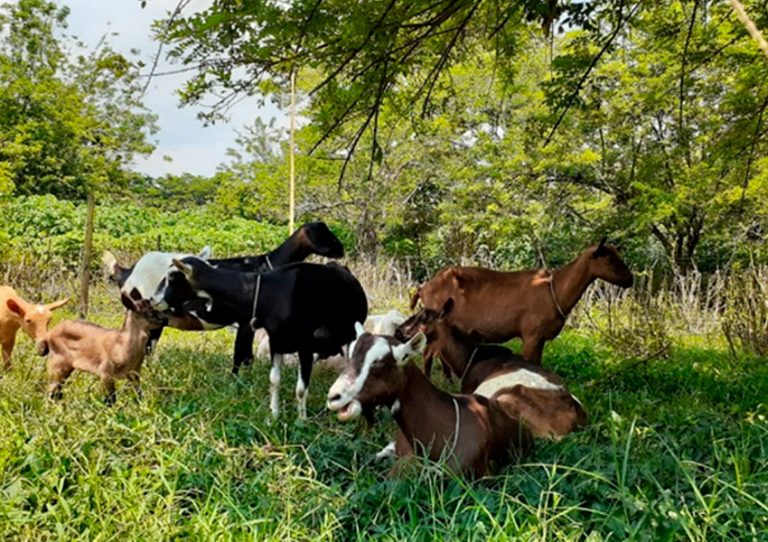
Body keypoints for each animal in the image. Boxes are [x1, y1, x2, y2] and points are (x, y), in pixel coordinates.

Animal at [172, 260, 368, 420]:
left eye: (173, 278)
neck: (270, 293)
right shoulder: (276, 343)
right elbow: (274, 379)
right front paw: (274, 414)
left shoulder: (305, 346)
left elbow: (300, 389)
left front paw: (302, 419)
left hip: (351, 335)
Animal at [408, 239, 632, 364]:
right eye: (609, 258)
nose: (630, 279)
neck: (555, 289)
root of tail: (423, 288)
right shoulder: (531, 335)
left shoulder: (540, 339)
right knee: (427, 356)